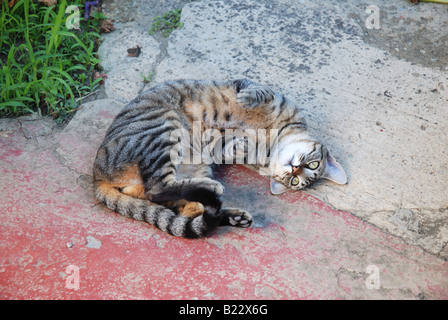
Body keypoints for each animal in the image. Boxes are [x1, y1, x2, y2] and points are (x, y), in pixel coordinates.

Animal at [93, 79, 346, 238]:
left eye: (295, 181)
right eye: (312, 164)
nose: (294, 169)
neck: (272, 139)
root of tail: (97, 176)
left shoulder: (218, 148)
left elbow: (229, 146)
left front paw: (243, 144)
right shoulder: (253, 87)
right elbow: (259, 92)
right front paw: (247, 102)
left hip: (191, 159)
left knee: (175, 201)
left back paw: (231, 214)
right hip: (165, 127)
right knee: (162, 192)